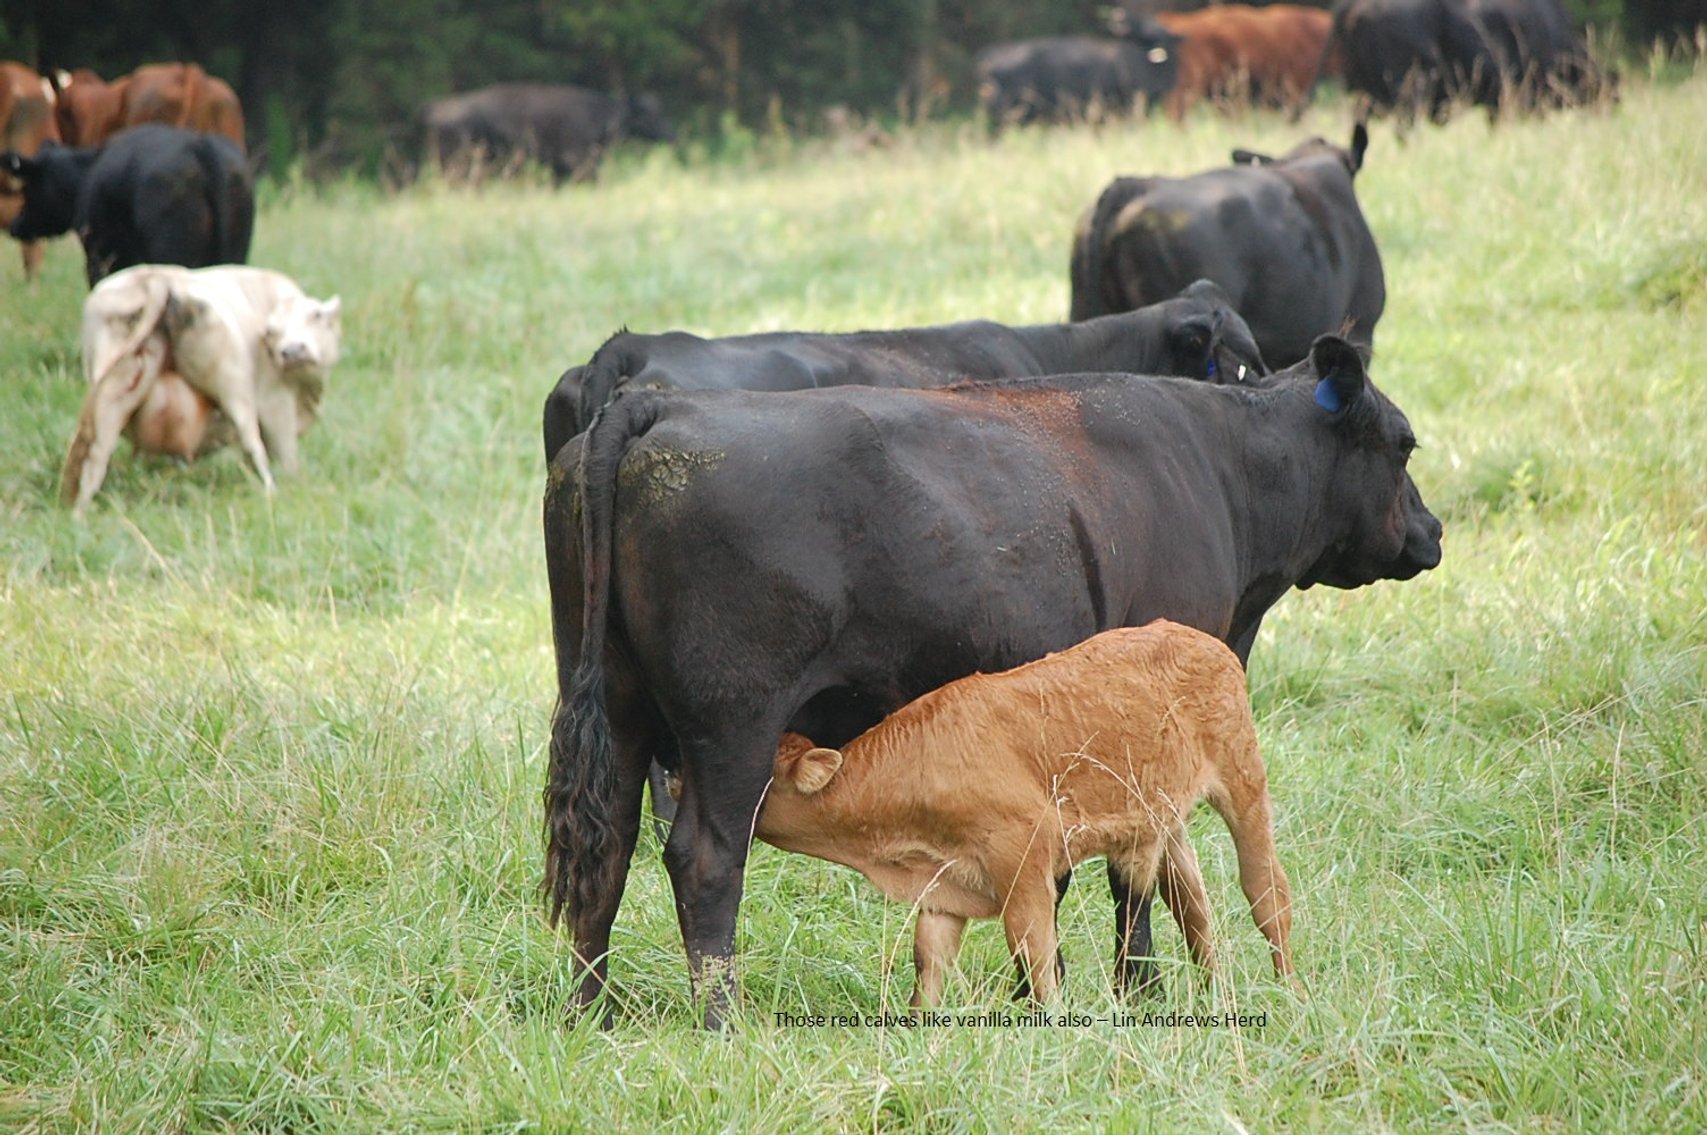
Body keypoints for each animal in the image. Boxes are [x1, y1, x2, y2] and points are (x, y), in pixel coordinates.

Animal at [61, 264, 342, 513]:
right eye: (271, 331)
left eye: (317, 315)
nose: (292, 351)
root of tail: (155, 277)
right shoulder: (276, 400)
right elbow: (283, 451)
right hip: (234, 386)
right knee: (252, 442)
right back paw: (271, 491)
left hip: (114, 391)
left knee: (95, 457)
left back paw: (79, 512)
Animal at [755, 623, 1294, 1007]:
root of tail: (1198, 638)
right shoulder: (943, 885)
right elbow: (929, 964)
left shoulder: (1023, 859)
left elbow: (1035, 952)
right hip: (1166, 821)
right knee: (1192, 907)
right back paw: (1213, 996)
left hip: (1244, 781)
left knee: (1267, 890)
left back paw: (1289, 992)